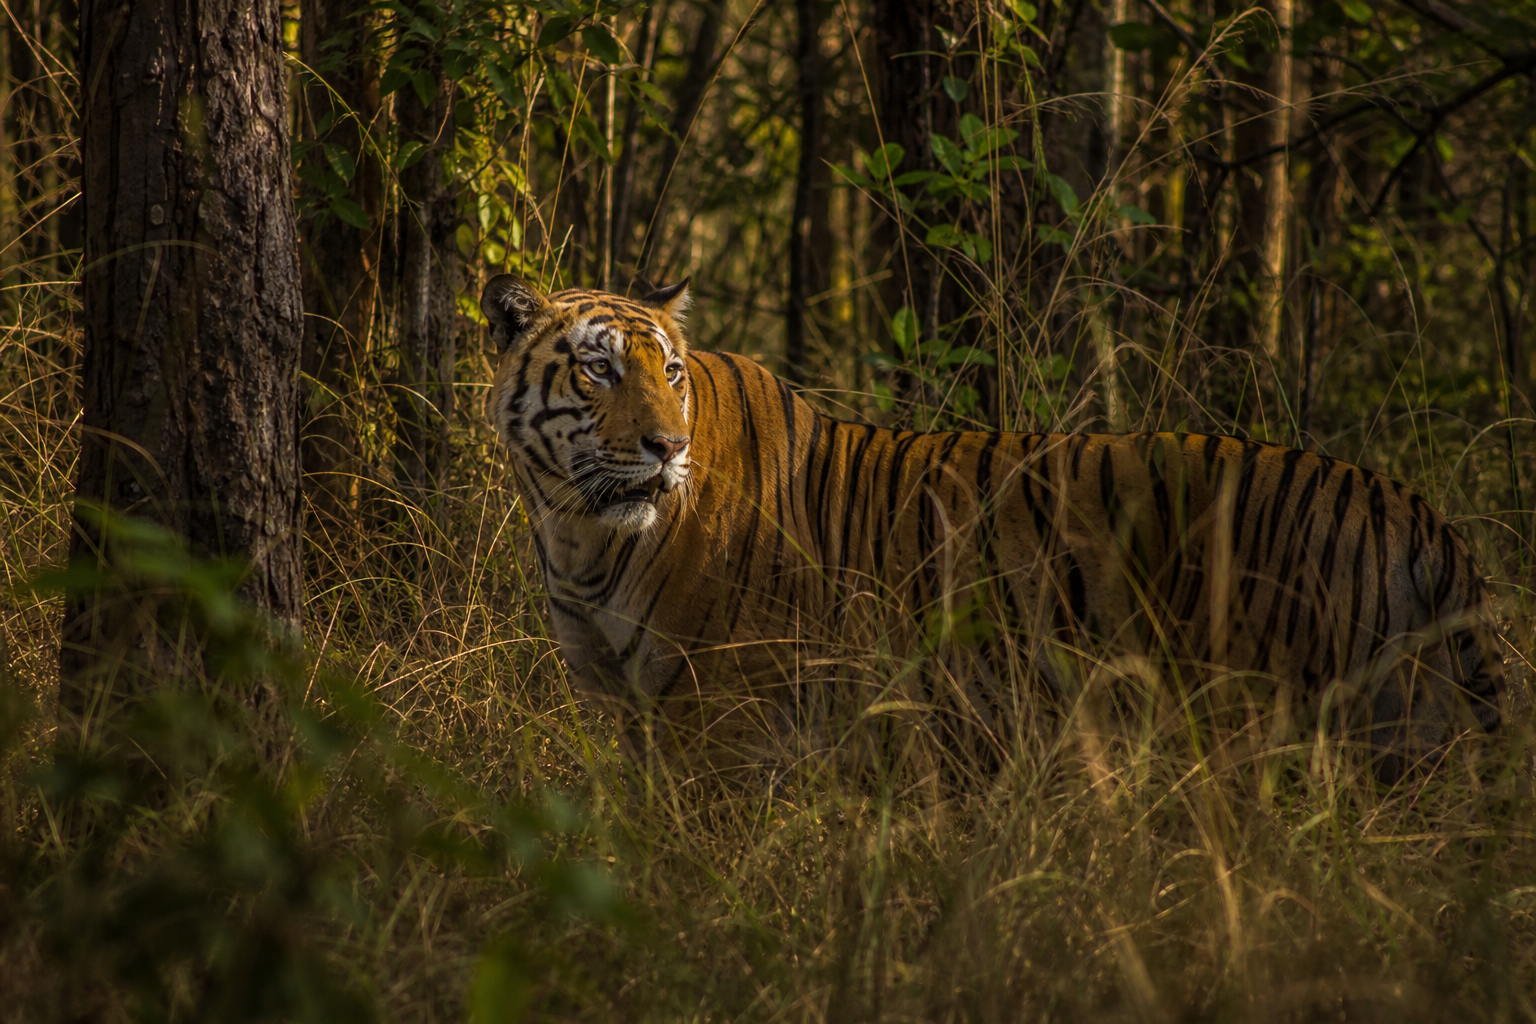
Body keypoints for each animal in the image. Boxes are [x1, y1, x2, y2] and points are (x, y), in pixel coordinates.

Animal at [480, 273, 1504, 782]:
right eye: (601, 371)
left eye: (670, 373)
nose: (669, 446)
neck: (578, 534)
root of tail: (1417, 510)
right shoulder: (628, 715)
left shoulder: (718, 723)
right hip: (1412, 731)